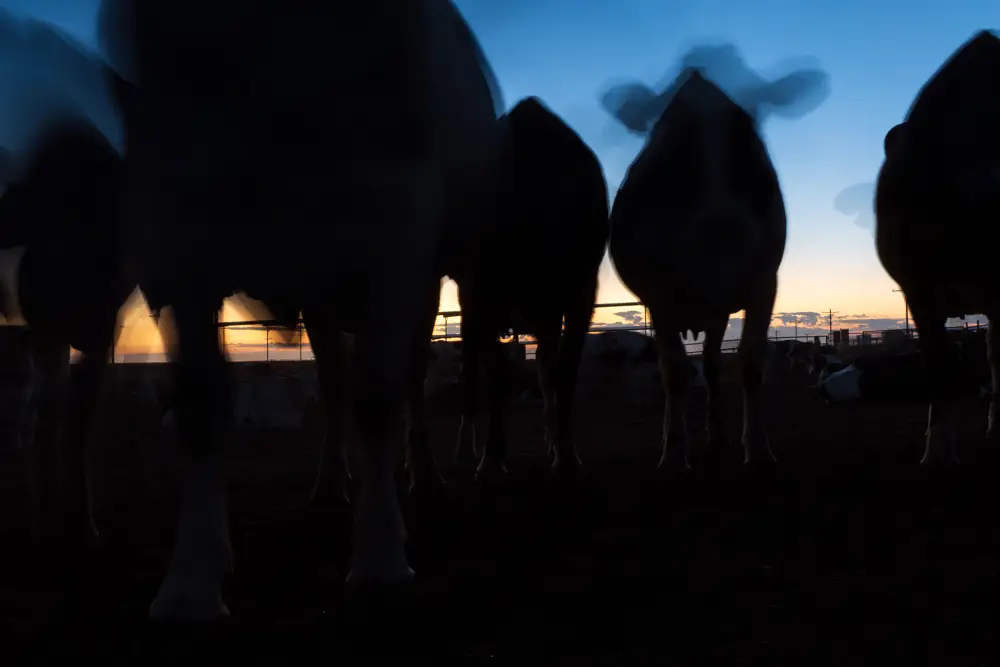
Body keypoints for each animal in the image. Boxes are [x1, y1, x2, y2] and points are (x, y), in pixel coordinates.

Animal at [96, 0, 506, 623]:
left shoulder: (395, 227)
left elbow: (379, 399)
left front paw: (381, 558)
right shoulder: (177, 235)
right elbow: (198, 407)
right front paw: (191, 579)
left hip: (438, 273)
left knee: (407, 381)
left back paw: (426, 476)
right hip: (321, 296)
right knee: (334, 386)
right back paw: (329, 484)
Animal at [599, 48, 829, 470]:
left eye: (746, 130)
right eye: (669, 135)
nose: (724, 222)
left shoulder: (763, 282)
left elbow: (750, 364)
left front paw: (757, 449)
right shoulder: (659, 294)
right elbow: (673, 371)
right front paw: (674, 452)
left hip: (719, 311)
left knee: (711, 363)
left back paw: (717, 435)